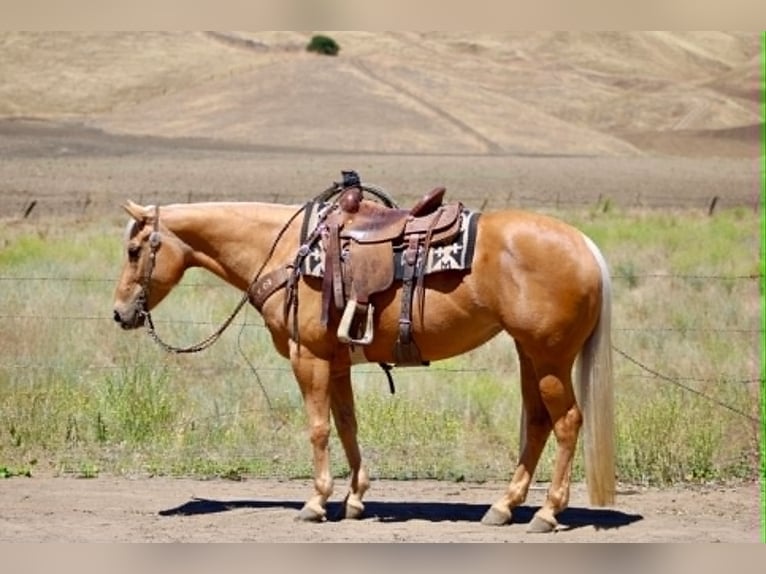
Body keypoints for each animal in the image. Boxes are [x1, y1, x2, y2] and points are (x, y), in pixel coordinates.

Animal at [111, 183, 615, 533]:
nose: (120, 313)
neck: (287, 251)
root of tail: (585, 245)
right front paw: (354, 500)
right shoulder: (336, 362)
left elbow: (318, 428)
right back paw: (503, 507)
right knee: (538, 422)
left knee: (567, 422)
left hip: (550, 358)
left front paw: (316, 502)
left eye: (134, 251)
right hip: (530, 353)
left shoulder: (309, 357)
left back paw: (547, 513)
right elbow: (347, 424)